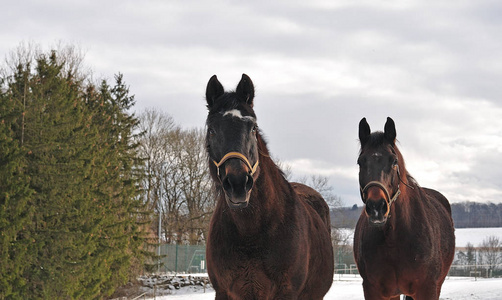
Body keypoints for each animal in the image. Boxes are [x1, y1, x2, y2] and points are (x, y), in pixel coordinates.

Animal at [352, 117, 454, 300]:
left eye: (393, 161)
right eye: (360, 162)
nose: (377, 208)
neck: (395, 239)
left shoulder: (427, 289)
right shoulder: (374, 290)